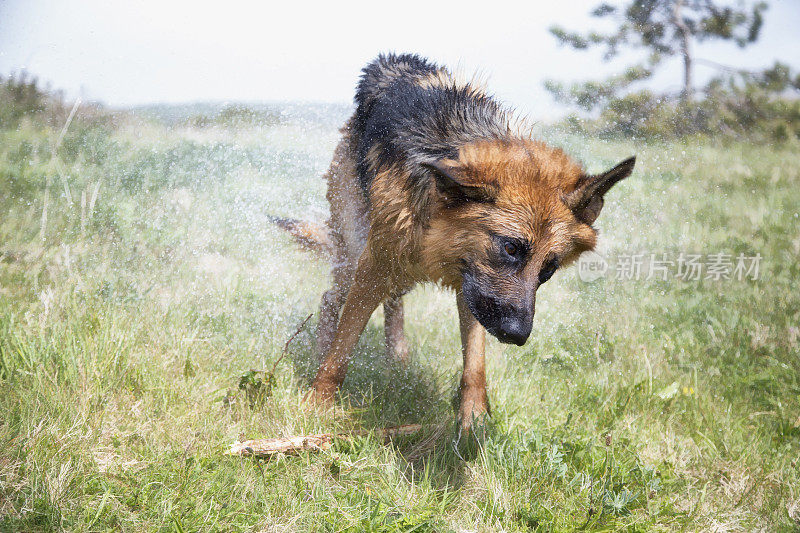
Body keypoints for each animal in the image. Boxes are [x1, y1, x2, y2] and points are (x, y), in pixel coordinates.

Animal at [278, 53, 636, 428]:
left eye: (549, 268)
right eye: (511, 248)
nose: (518, 336)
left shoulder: (474, 288)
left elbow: (475, 362)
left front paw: (473, 419)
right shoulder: (378, 264)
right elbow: (341, 351)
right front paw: (316, 405)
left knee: (392, 303)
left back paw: (398, 360)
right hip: (359, 253)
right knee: (331, 299)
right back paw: (322, 350)